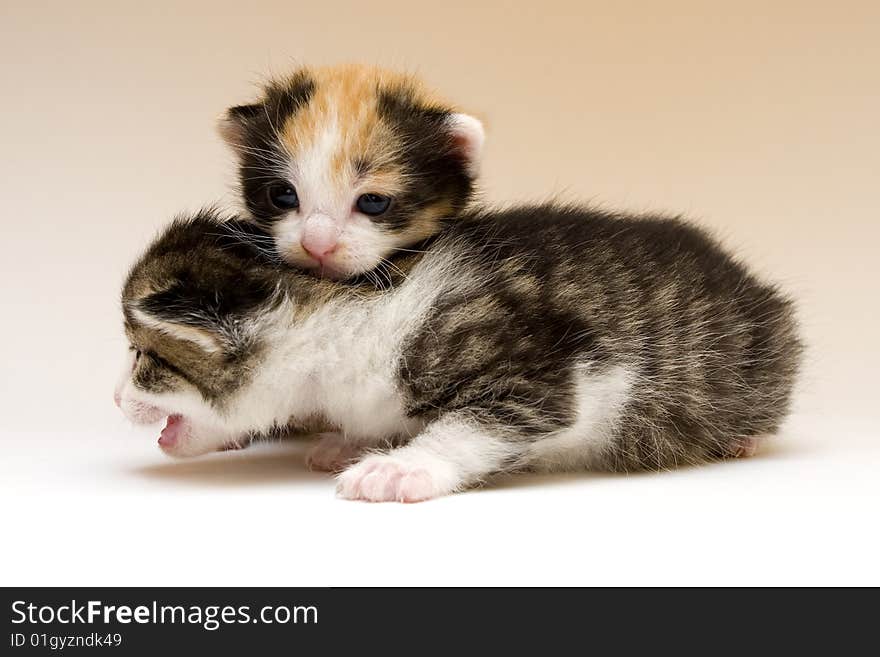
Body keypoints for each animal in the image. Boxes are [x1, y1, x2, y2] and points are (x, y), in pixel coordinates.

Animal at [117, 208, 804, 500]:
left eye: (140, 356)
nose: (117, 398)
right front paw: (352, 441)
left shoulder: (547, 366)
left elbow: (482, 421)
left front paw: (401, 467)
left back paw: (743, 437)